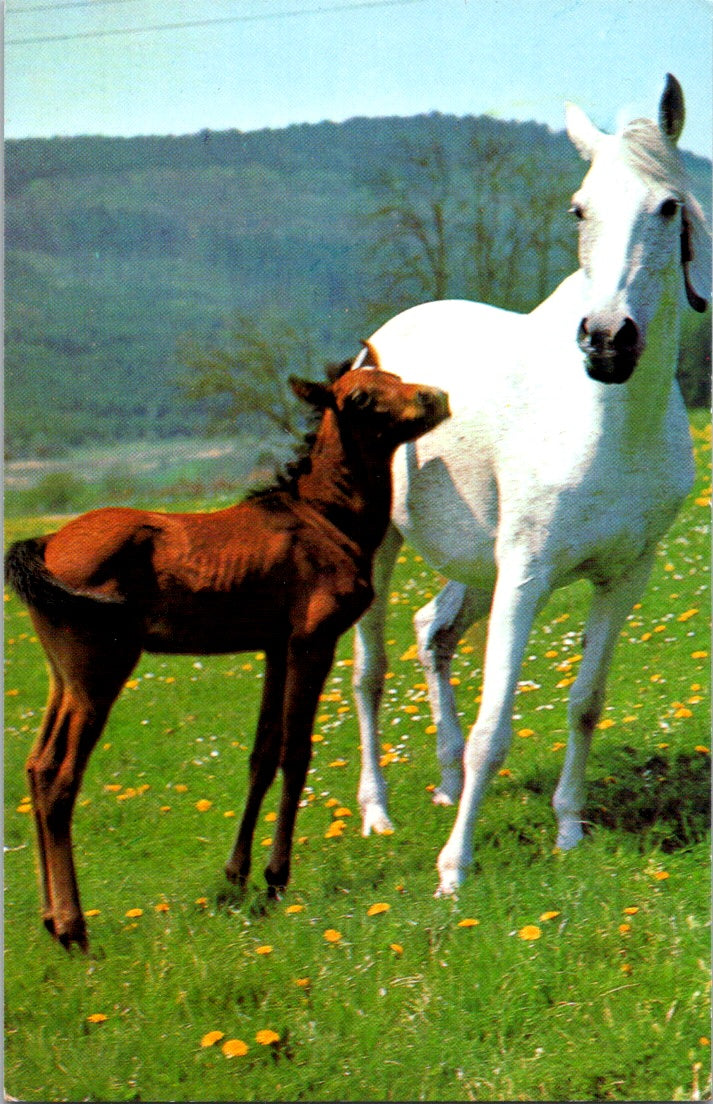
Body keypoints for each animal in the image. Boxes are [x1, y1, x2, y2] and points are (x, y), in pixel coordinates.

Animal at [350, 75, 710, 896]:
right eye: (579, 208)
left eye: (666, 207)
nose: (607, 341)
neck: (609, 423)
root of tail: (374, 349)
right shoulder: (525, 574)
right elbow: (495, 727)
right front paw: (455, 869)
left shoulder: (623, 578)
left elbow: (584, 704)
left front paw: (569, 830)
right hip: (383, 552)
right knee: (370, 673)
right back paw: (377, 813)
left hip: (475, 569)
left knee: (434, 633)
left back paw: (446, 783)